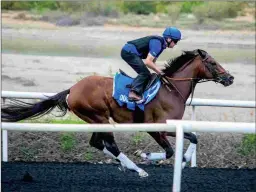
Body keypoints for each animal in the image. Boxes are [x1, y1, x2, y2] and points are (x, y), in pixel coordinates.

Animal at [1, 49, 234, 177]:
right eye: (213, 63)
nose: (230, 78)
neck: (172, 90)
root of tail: (72, 90)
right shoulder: (155, 128)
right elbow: (169, 151)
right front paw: (146, 156)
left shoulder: (171, 126)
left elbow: (193, 137)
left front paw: (184, 161)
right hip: (99, 117)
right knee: (110, 144)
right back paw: (136, 168)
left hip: (96, 120)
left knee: (97, 143)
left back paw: (125, 165)